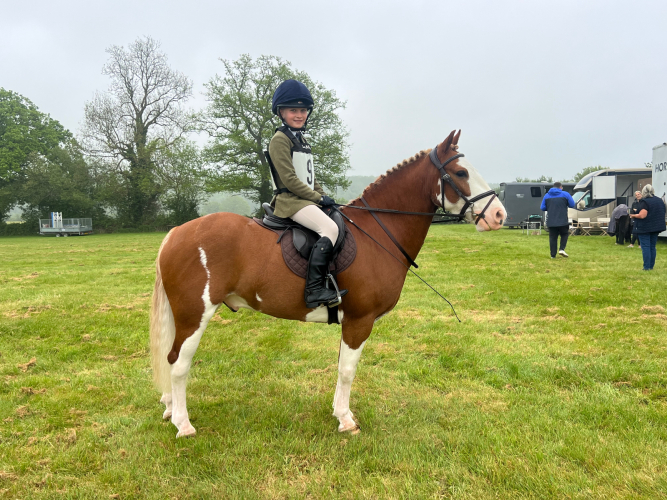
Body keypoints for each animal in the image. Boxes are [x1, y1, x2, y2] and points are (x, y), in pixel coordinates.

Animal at [150, 130, 507, 438]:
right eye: (460, 172)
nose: (500, 216)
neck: (378, 232)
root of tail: (176, 233)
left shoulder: (351, 322)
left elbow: (341, 366)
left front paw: (338, 412)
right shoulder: (360, 321)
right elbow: (348, 370)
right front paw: (346, 420)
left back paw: (169, 409)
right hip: (194, 315)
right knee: (178, 363)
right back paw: (183, 424)